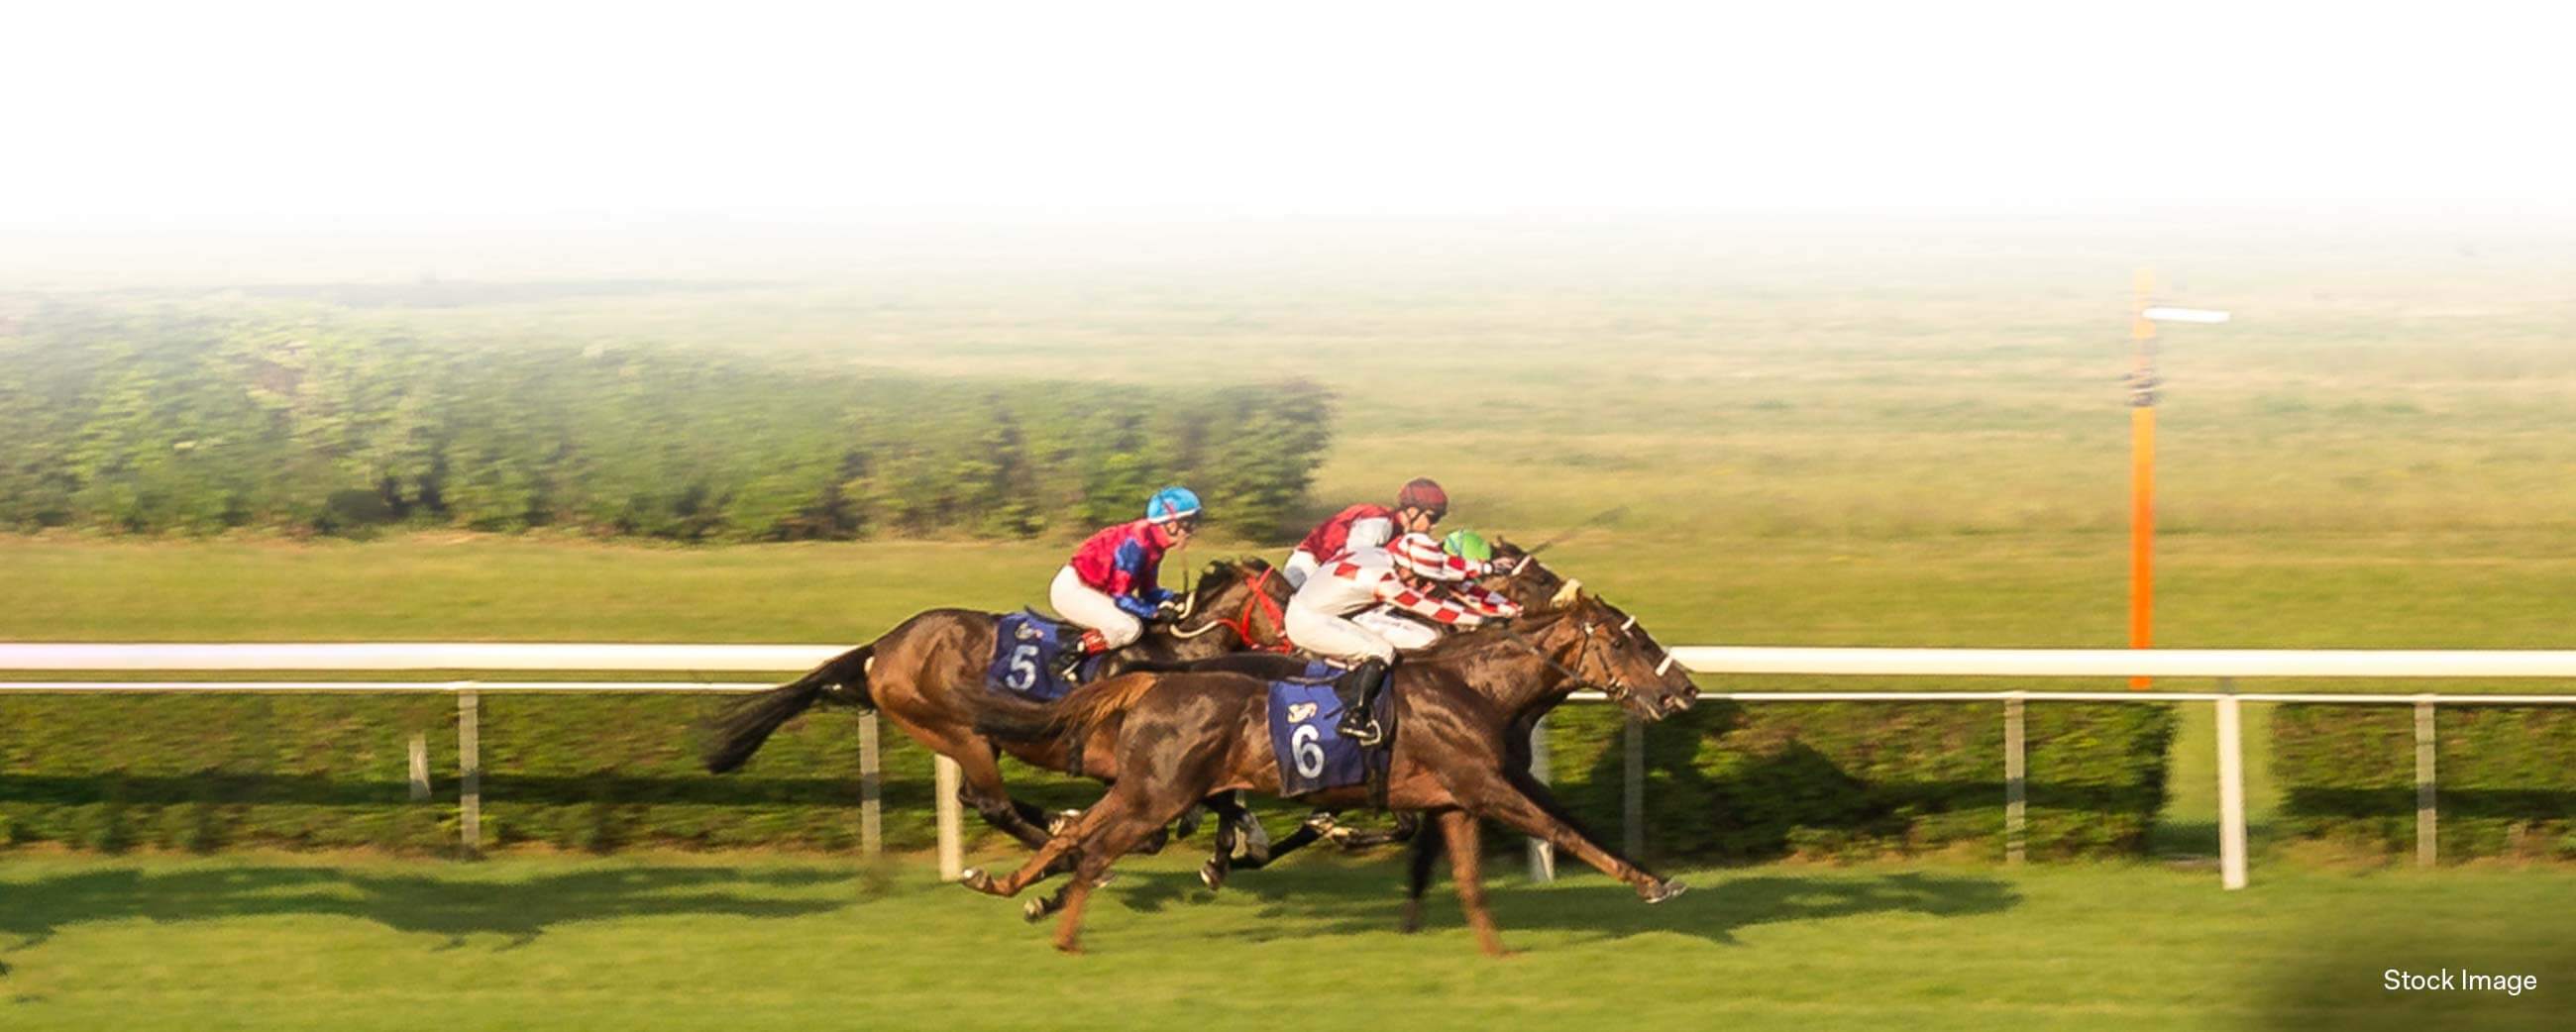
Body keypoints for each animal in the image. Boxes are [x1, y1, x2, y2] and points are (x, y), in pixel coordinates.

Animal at [700, 556, 1288, 854]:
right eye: (1284, 595)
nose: (1300, 646)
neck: (1177, 654)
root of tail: (883, 648)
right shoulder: (1137, 763)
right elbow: (1194, 810)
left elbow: (1222, 799)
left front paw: (1247, 836)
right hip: (955, 729)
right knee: (990, 804)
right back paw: (1057, 836)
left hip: (975, 740)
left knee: (972, 796)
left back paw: (1059, 823)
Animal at [958, 583, 1699, 952]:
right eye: (1628, 643)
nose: (1684, 689)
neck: (1476, 687)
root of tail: (1150, 682)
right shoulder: (1485, 786)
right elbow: (1563, 831)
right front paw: (1652, 885)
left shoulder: (1460, 797)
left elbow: (1475, 872)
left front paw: (1492, 952)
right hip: (1159, 796)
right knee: (1095, 847)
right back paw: (1066, 930)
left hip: (1146, 789)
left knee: (1079, 833)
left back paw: (1004, 884)